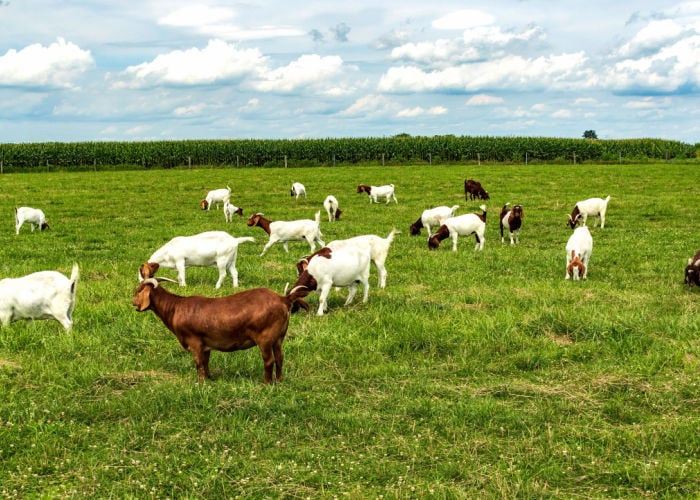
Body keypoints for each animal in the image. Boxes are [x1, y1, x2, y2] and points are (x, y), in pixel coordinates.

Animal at [133, 274, 308, 382]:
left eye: (138, 290)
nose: (132, 302)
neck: (176, 307)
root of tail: (283, 299)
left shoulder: (194, 341)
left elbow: (198, 362)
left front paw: (200, 382)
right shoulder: (205, 344)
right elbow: (206, 361)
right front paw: (209, 378)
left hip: (265, 338)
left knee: (269, 360)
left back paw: (266, 383)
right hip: (279, 337)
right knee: (279, 357)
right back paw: (279, 380)